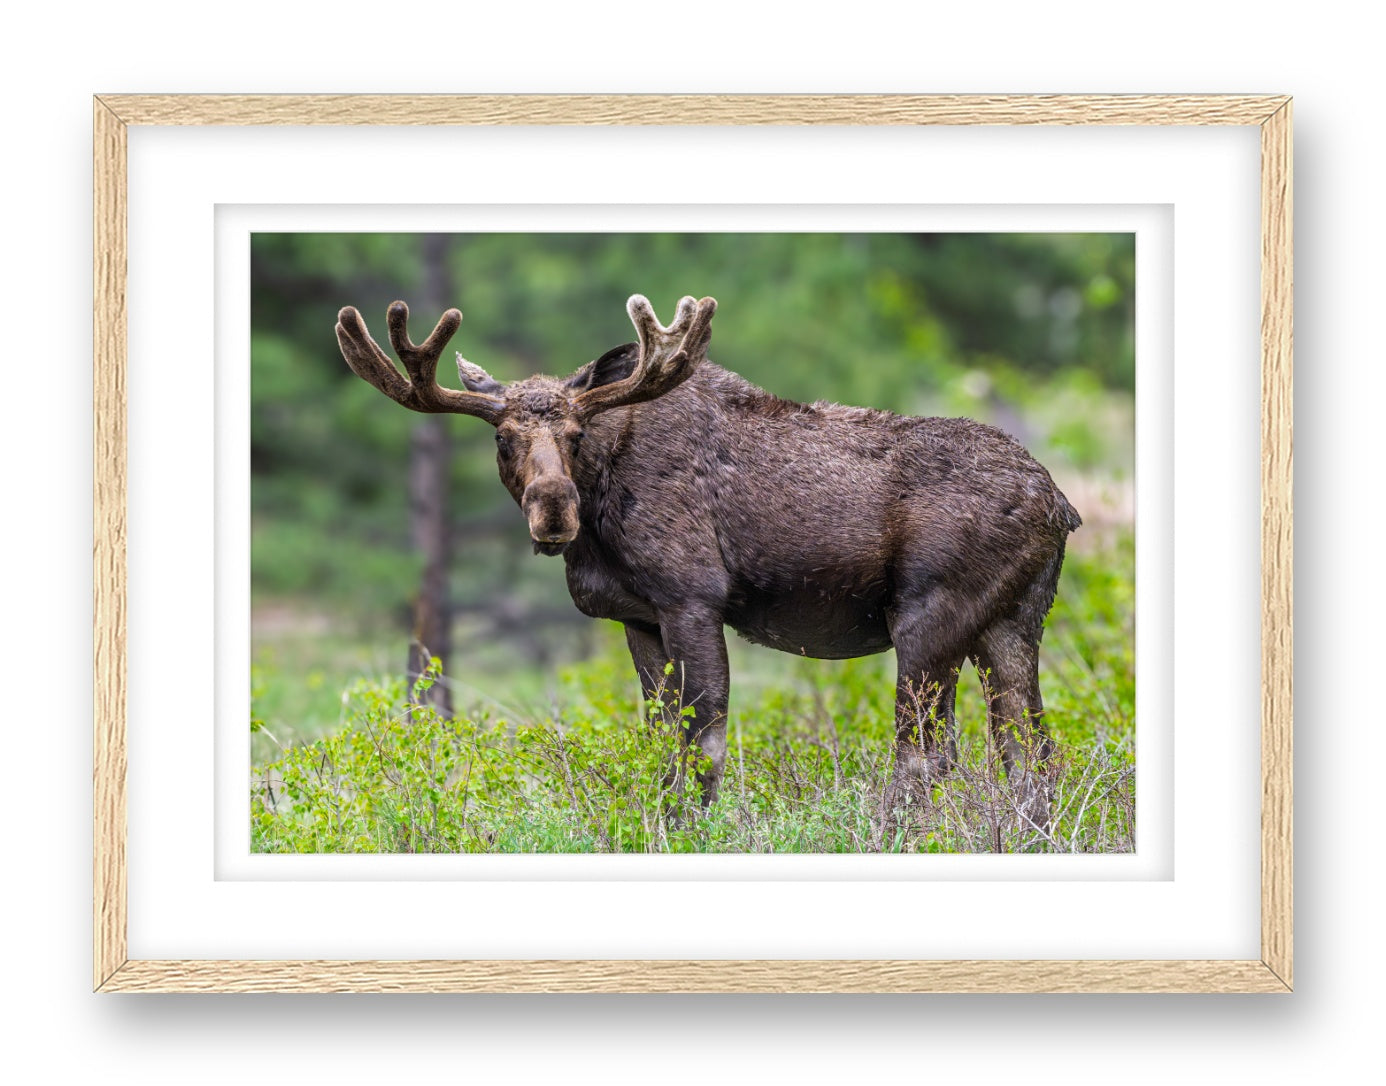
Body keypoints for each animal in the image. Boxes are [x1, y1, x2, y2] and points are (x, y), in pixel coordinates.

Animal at [334, 294, 1081, 826]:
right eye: (503, 439)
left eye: (575, 433)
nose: (553, 512)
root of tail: (1060, 504)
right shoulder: (637, 618)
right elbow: (659, 741)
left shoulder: (692, 598)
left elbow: (702, 744)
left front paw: (690, 829)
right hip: (1012, 622)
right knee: (1029, 755)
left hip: (929, 618)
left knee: (928, 755)